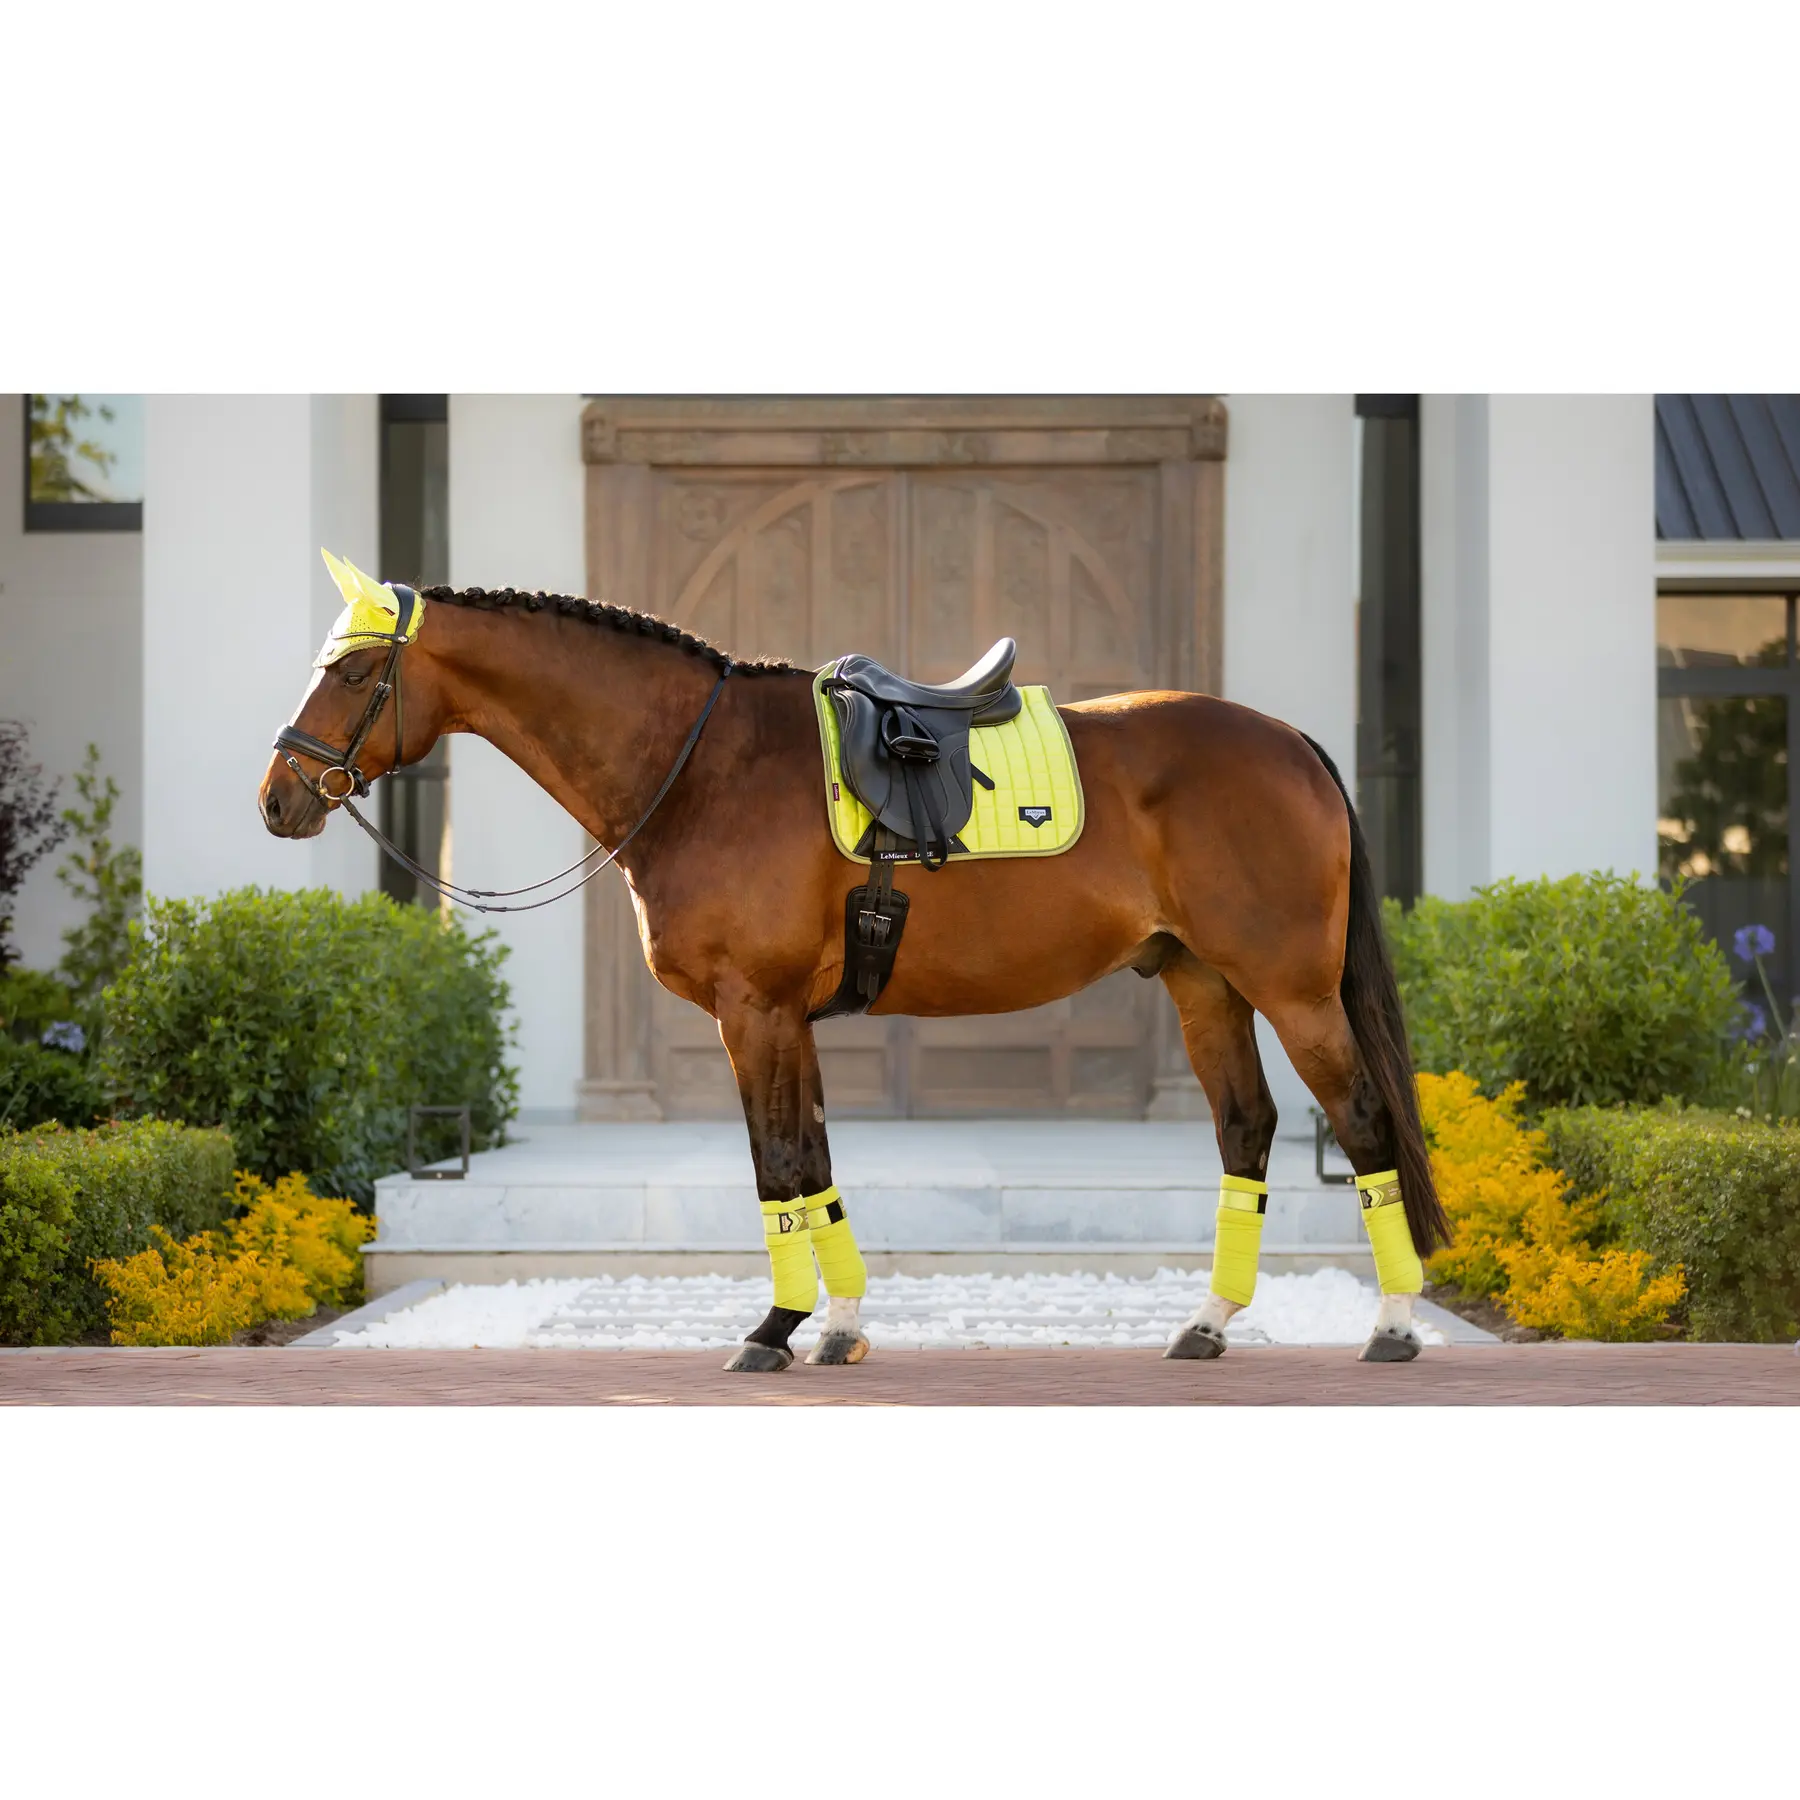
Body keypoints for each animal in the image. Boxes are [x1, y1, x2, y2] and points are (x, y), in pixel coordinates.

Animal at [260, 560, 1452, 1374]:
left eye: (356, 669)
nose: (279, 798)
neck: (705, 769)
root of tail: (1293, 744)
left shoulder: (753, 1011)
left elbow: (778, 1163)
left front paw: (773, 1328)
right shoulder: (789, 1018)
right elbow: (817, 1167)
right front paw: (836, 1327)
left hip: (1293, 991)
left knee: (1361, 1123)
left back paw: (1392, 1323)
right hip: (1204, 984)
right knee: (1246, 1129)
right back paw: (1206, 1323)